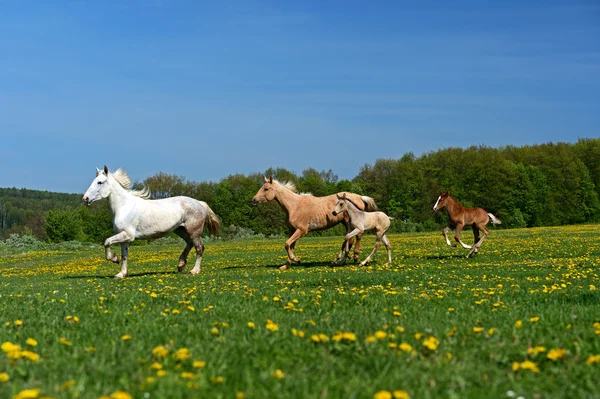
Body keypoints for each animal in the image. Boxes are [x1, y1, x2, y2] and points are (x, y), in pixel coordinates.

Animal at [81, 166, 219, 278]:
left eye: (100, 182)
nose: (85, 199)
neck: (124, 207)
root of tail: (199, 203)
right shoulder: (124, 238)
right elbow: (124, 255)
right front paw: (121, 274)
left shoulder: (128, 235)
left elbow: (107, 242)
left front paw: (114, 259)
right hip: (181, 230)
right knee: (189, 244)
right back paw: (180, 265)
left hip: (194, 231)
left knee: (199, 248)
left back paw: (194, 271)